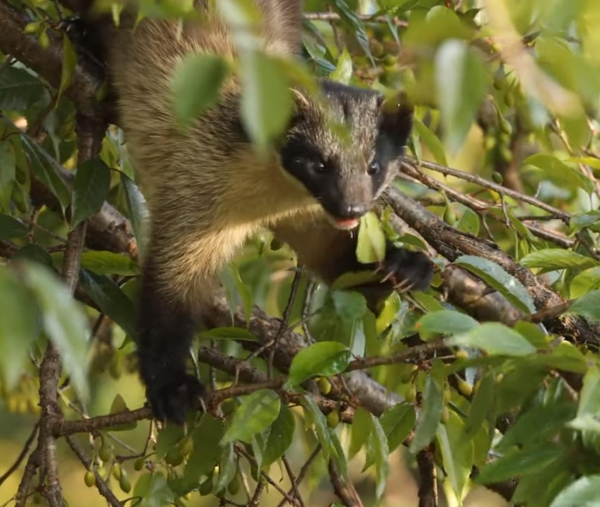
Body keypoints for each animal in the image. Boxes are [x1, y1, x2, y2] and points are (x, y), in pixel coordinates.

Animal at [85, 0, 434, 423]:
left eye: (374, 165)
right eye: (319, 164)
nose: (352, 207)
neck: (261, 204)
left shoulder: (308, 220)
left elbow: (340, 264)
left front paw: (407, 266)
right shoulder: (189, 202)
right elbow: (164, 309)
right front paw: (174, 391)